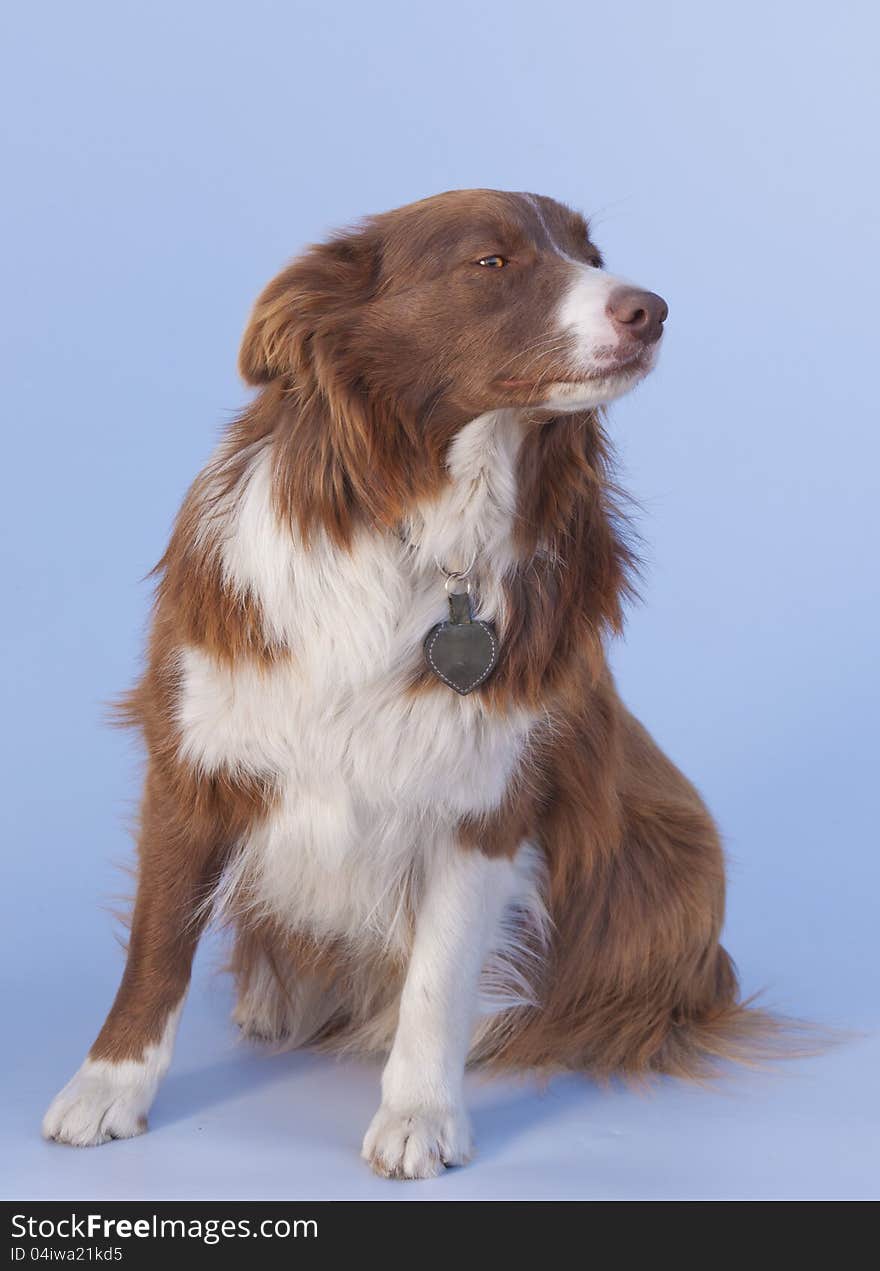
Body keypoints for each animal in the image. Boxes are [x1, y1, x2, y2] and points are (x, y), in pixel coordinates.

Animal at [42, 188, 768, 1179]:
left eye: (591, 255)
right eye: (491, 263)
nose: (649, 309)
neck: (428, 522)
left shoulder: (485, 801)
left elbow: (440, 973)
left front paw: (421, 1113)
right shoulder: (194, 749)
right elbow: (158, 942)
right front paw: (107, 1086)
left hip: (679, 857)